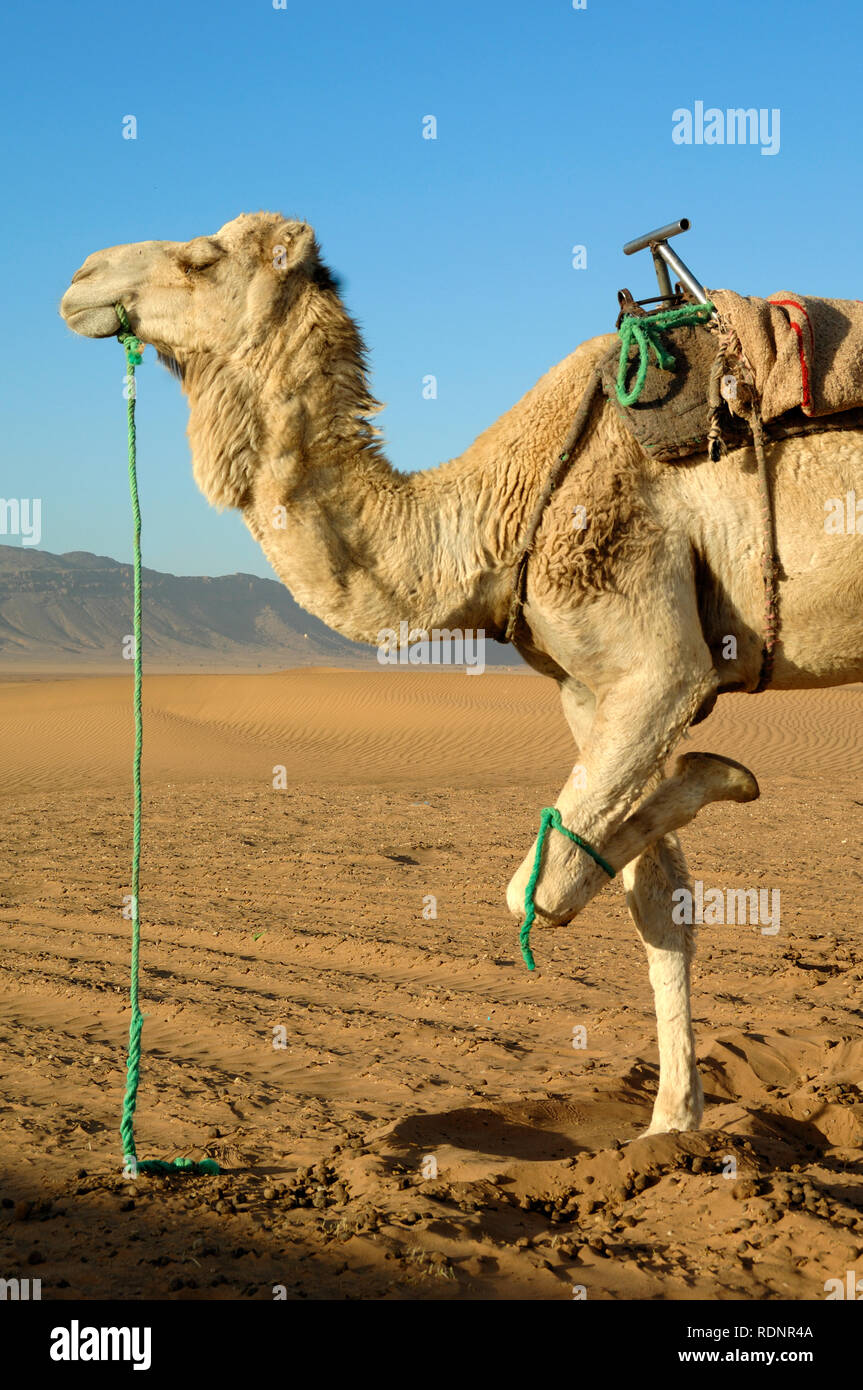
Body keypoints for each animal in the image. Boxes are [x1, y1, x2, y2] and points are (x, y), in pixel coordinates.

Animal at [60, 211, 861, 1134]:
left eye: (199, 258)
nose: (79, 278)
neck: (487, 517)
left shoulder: (658, 663)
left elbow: (536, 892)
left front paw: (724, 773)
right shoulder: (590, 687)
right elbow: (655, 901)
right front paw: (669, 1123)